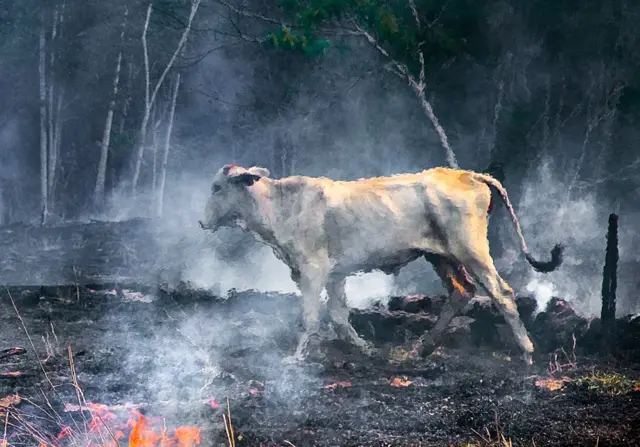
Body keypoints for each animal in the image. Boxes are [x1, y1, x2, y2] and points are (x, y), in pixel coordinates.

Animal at [200, 163, 564, 366]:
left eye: (217, 187)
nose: (202, 222)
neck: (282, 205)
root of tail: (467, 174)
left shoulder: (313, 269)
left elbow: (309, 318)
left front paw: (295, 357)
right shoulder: (335, 274)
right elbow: (339, 316)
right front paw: (365, 349)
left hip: (470, 250)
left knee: (501, 292)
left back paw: (527, 351)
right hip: (441, 256)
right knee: (461, 292)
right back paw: (420, 349)